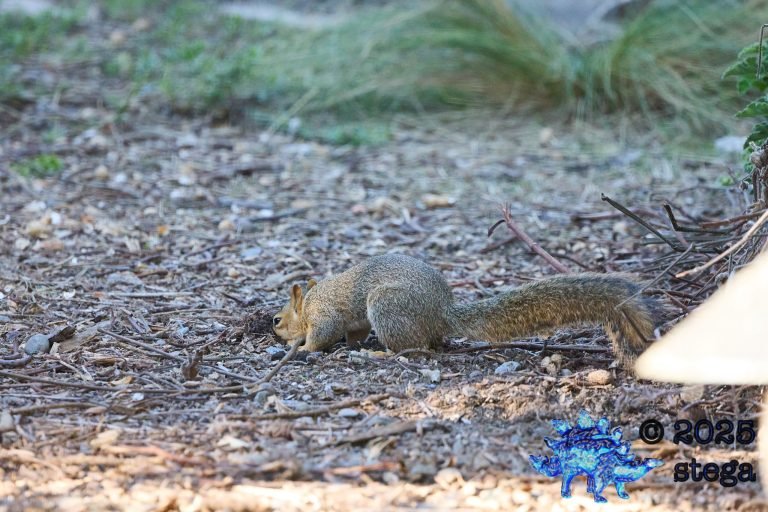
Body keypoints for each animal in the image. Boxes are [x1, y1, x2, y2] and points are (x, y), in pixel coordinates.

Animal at [272, 254, 661, 369]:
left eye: (277, 320)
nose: (273, 330)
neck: (307, 303)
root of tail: (442, 312)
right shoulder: (351, 321)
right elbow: (352, 331)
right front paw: (350, 344)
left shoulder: (324, 314)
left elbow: (323, 333)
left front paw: (302, 348)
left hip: (386, 306)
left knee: (416, 348)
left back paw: (380, 354)